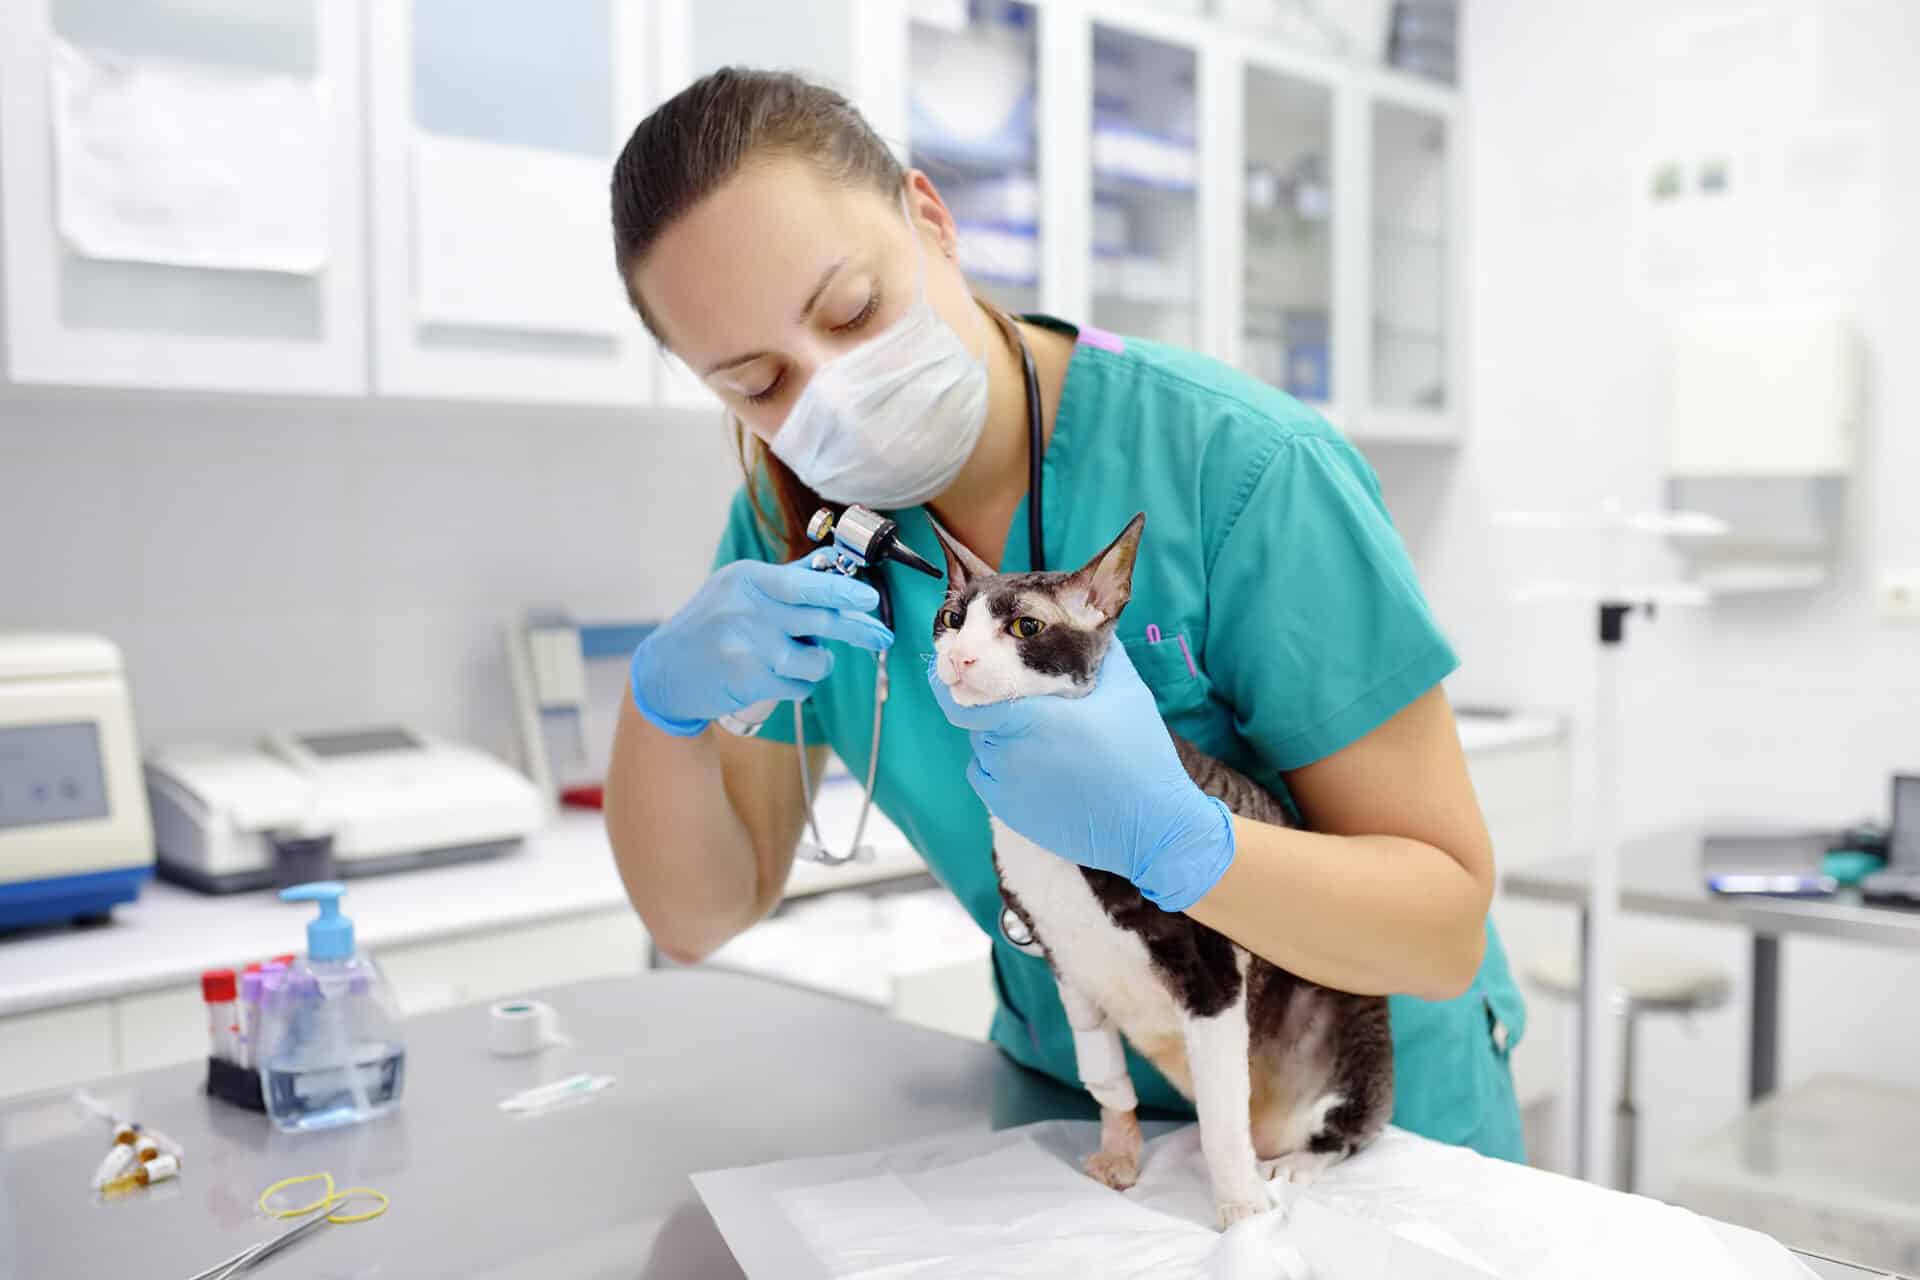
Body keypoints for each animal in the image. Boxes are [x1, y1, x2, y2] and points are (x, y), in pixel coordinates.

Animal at [925, 514, 1390, 1228]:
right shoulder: (1067, 966)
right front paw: (1120, 1154)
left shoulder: (1213, 975)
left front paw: (1241, 1211)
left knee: (1349, 1130)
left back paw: (1292, 1164)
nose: (958, 658)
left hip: (1347, 1018)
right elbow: (1105, 1078)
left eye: (1025, 627)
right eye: (952, 618)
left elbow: (1222, 1116)